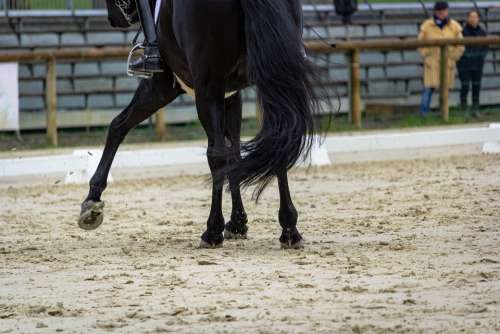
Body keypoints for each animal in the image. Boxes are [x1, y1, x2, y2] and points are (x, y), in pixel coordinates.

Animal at [77, 0, 320, 249]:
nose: (114, 19)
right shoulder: (231, 95)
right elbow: (235, 155)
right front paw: (238, 223)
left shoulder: (162, 86)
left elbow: (118, 125)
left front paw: (92, 201)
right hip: (272, 79)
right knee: (278, 140)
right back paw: (289, 230)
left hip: (206, 89)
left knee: (216, 154)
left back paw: (212, 231)